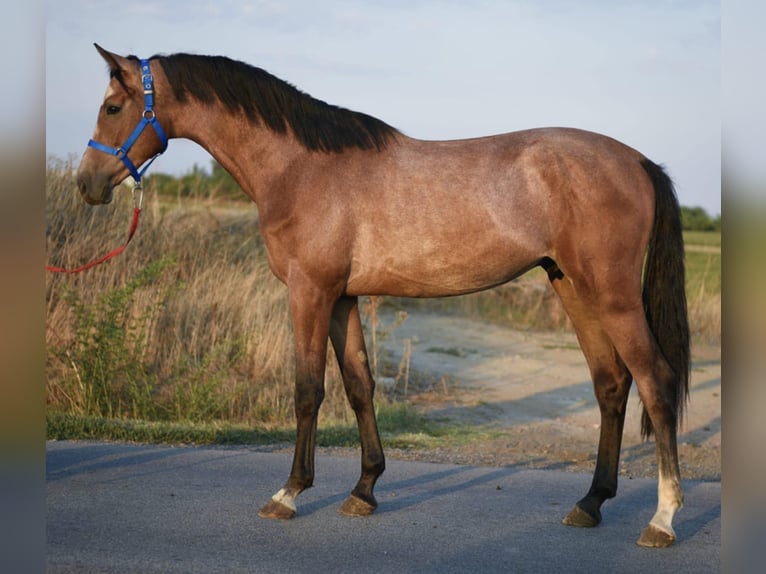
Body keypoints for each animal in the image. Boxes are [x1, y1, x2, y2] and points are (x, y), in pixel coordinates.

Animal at [76, 44, 689, 548]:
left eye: (113, 108)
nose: (86, 184)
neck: (300, 168)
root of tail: (638, 161)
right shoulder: (343, 298)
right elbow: (359, 386)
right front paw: (364, 490)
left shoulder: (310, 292)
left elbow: (307, 390)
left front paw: (289, 493)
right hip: (573, 288)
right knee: (611, 385)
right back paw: (590, 503)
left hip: (611, 295)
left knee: (656, 383)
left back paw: (661, 520)